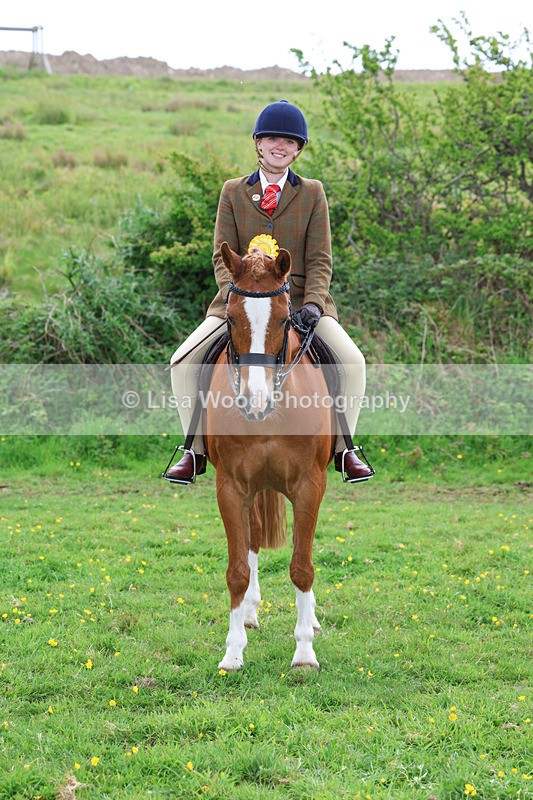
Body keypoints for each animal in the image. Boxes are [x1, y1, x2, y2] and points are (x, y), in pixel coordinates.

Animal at [205, 242, 335, 671]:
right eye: (230, 318)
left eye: (283, 319)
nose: (254, 401)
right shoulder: (230, 488)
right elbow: (237, 570)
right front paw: (232, 652)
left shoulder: (310, 486)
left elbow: (302, 566)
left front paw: (305, 653)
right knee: (254, 539)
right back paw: (248, 614)